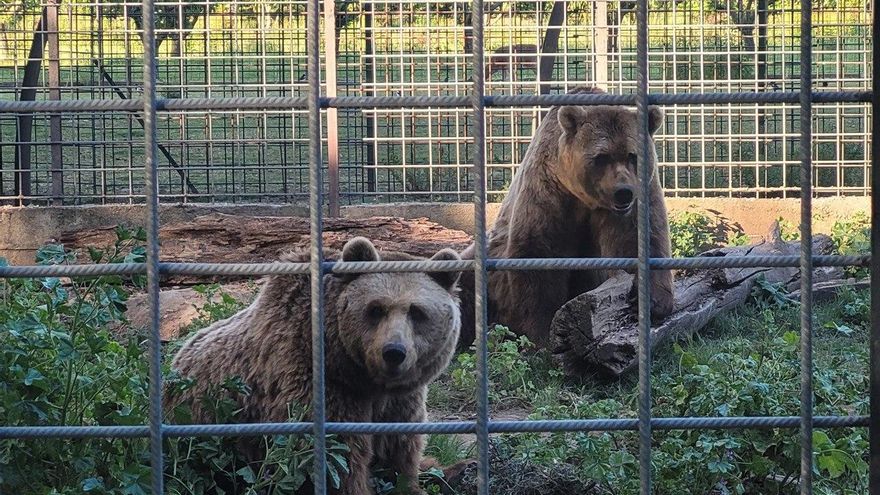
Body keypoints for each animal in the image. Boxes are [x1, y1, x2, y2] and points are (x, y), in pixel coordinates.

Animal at [163, 236, 464, 495]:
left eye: (417, 311)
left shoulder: (400, 402)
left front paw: (415, 479)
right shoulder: (318, 385)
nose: (393, 352)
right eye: (376, 309)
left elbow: (399, 451)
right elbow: (338, 460)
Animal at [456, 85, 674, 351]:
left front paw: (650, 302)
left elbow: (638, 241)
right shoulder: (549, 192)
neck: (586, 199)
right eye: (601, 156)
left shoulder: (638, 198)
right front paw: (544, 331)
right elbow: (540, 256)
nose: (623, 192)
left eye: (632, 156)